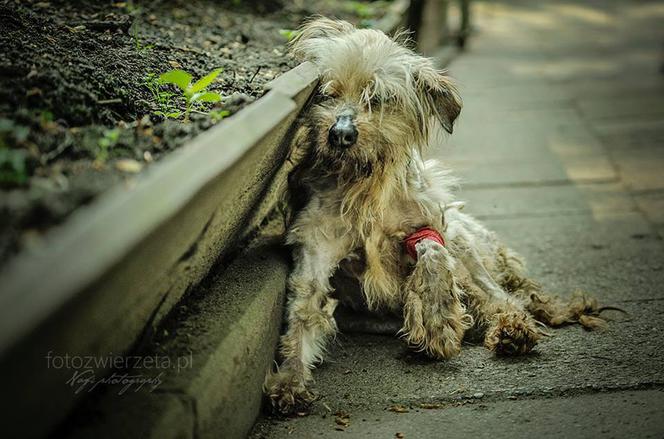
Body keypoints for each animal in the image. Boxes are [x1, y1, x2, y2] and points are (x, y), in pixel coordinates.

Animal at [264, 17, 608, 416]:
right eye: (327, 94)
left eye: (378, 98)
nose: (340, 133)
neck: (365, 188)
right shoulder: (316, 250)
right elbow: (304, 311)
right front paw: (290, 378)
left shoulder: (432, 219)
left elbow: (432, 251)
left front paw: (436, 317)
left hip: (469, 246)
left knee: (504, 298)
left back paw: (512, 328)